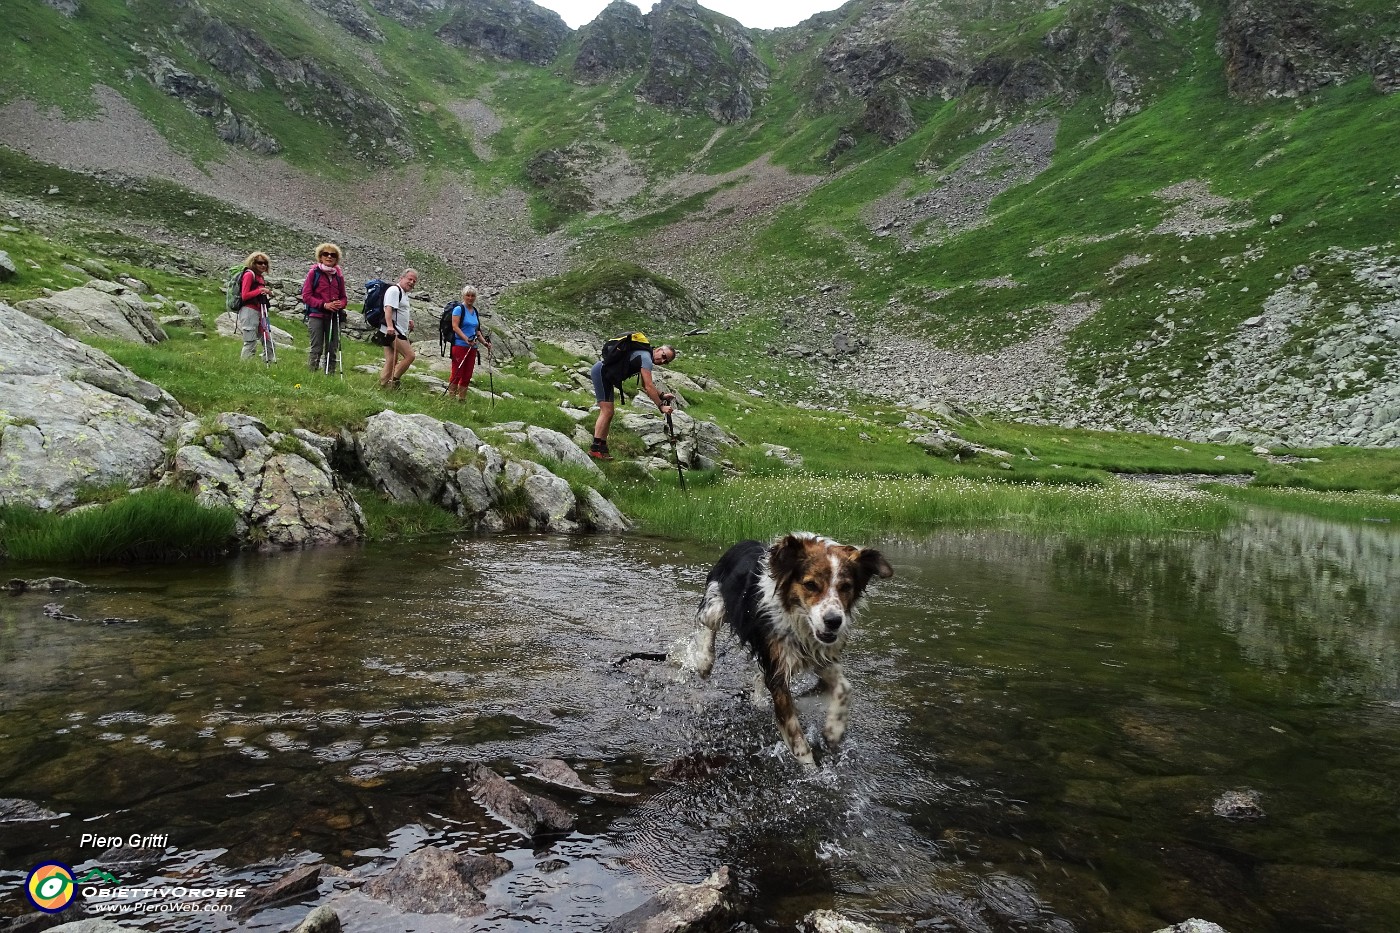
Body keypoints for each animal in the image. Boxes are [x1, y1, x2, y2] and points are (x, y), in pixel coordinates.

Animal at [688, 526, 896, 767]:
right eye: (810, 585)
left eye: (846, 587)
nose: (834, 621)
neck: (798, 619)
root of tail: (741, 543)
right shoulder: (777, 671)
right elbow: (794, 731)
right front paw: (810, 768)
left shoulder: (818, 655)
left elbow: (845, 687)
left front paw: (833, 730)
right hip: (716, 603)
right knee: (706, 624)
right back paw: (704, 661)